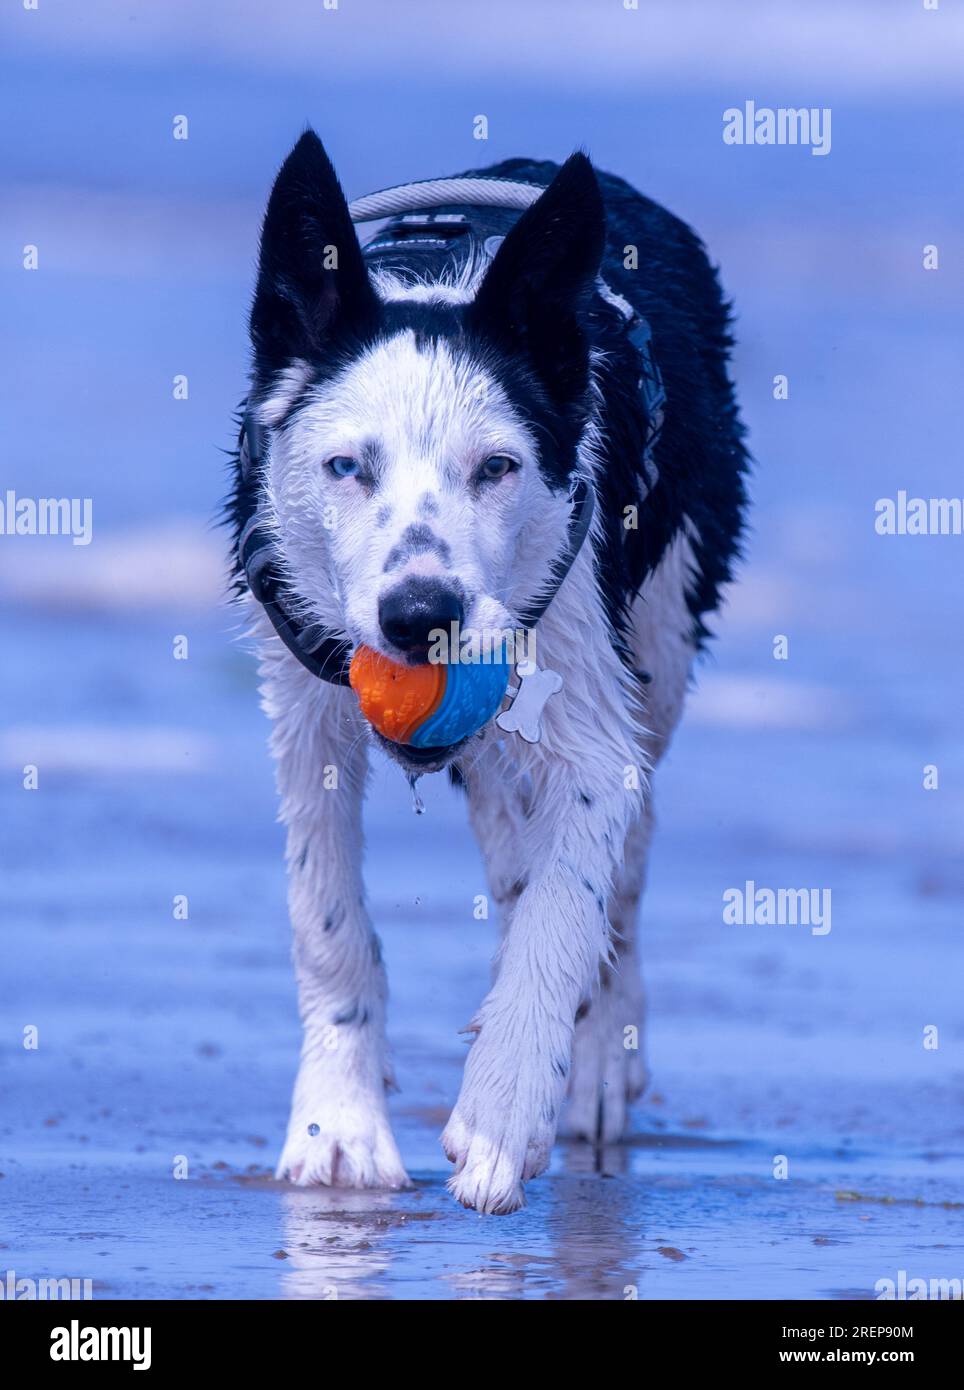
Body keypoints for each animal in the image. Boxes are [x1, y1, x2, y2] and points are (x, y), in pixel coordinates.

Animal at [230, 132, 750, 1217]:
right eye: (346, 466)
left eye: (498, 468)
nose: (420, 616)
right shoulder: (305, 706)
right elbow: (326, 916)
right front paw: (336, 1129)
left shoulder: (594, 717)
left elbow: (569, 909)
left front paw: (508, 1108)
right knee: (512, 848)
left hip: (664, 634)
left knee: (622, 871)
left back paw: (595, 1064)